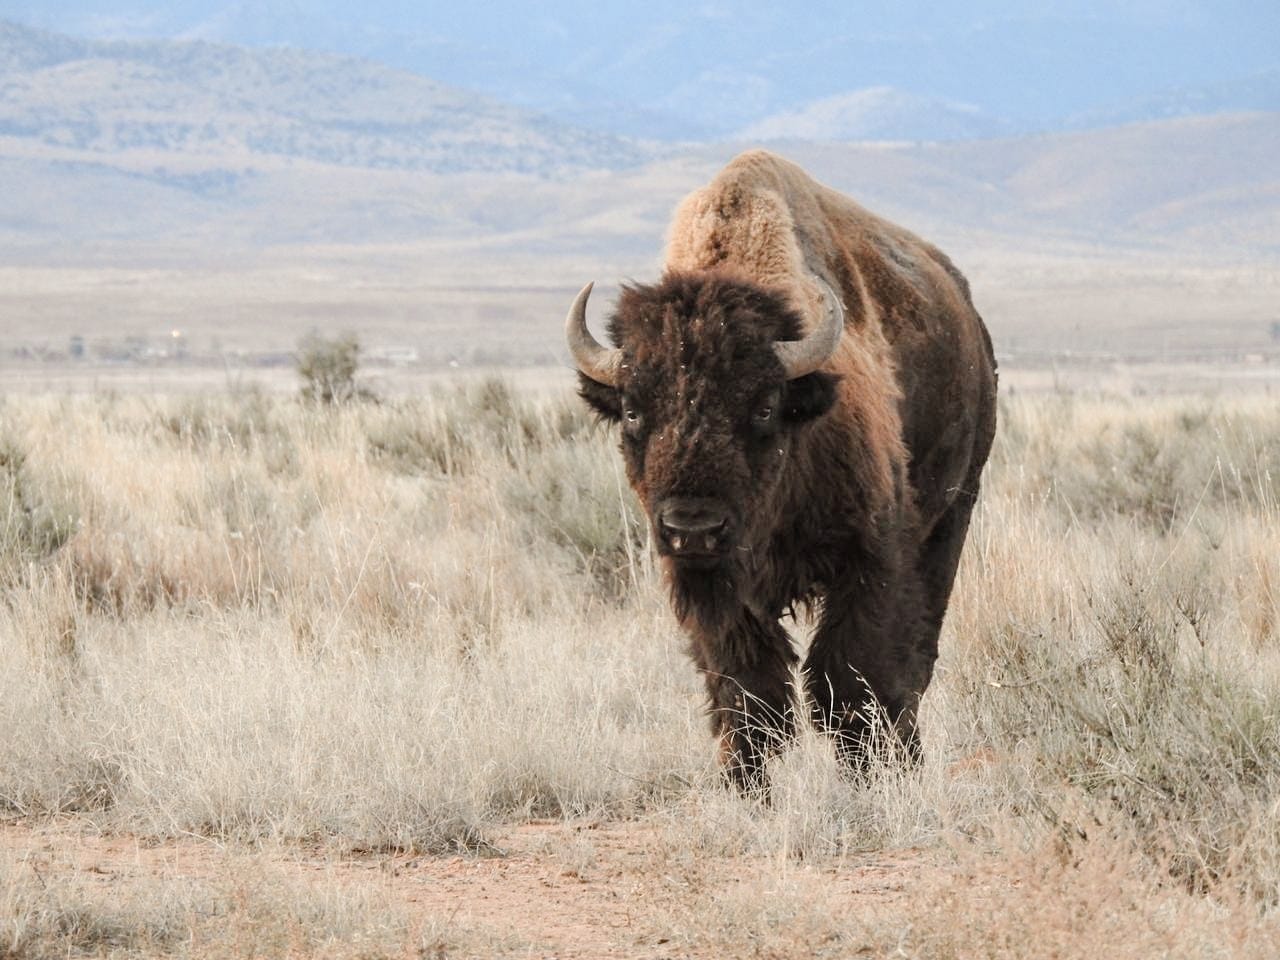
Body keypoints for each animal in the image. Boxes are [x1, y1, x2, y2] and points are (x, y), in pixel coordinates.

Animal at [566, 150, 997, 792]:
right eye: (634, 410)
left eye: (764, 406)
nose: (693, 527)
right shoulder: (719, 592)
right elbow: (748, 689)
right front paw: (747, 784)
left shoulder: (870, 558)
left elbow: (852, 676)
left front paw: (868, 778)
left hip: (954, 512)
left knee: (918, 659)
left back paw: (908, 757)